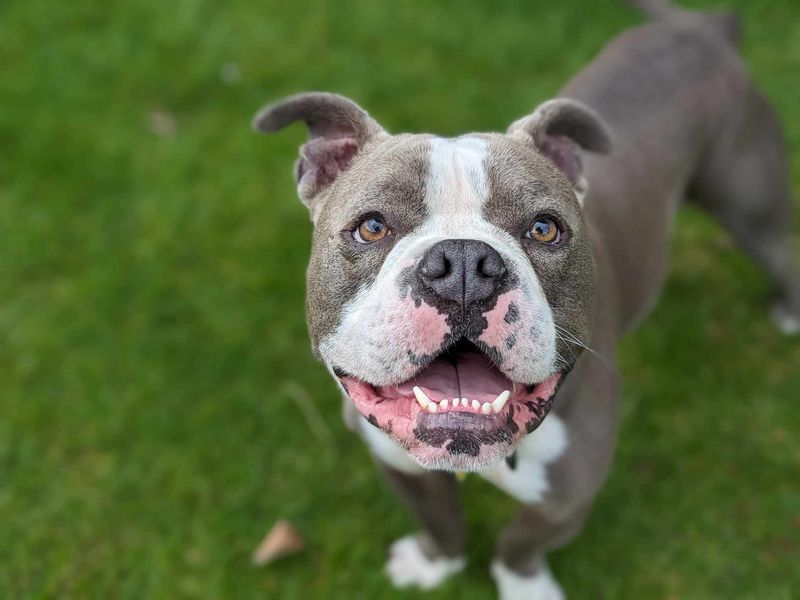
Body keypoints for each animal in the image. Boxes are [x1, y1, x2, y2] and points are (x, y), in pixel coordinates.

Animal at [252, 2, 800, 596]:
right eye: (372, 227)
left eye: (544, 229)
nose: (463, 264)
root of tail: (702, 28)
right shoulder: (398, 464)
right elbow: (439, 520)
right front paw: (433, 563)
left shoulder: (567, 498)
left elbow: (519, 546)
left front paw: (525, 586)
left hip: (750, 208)